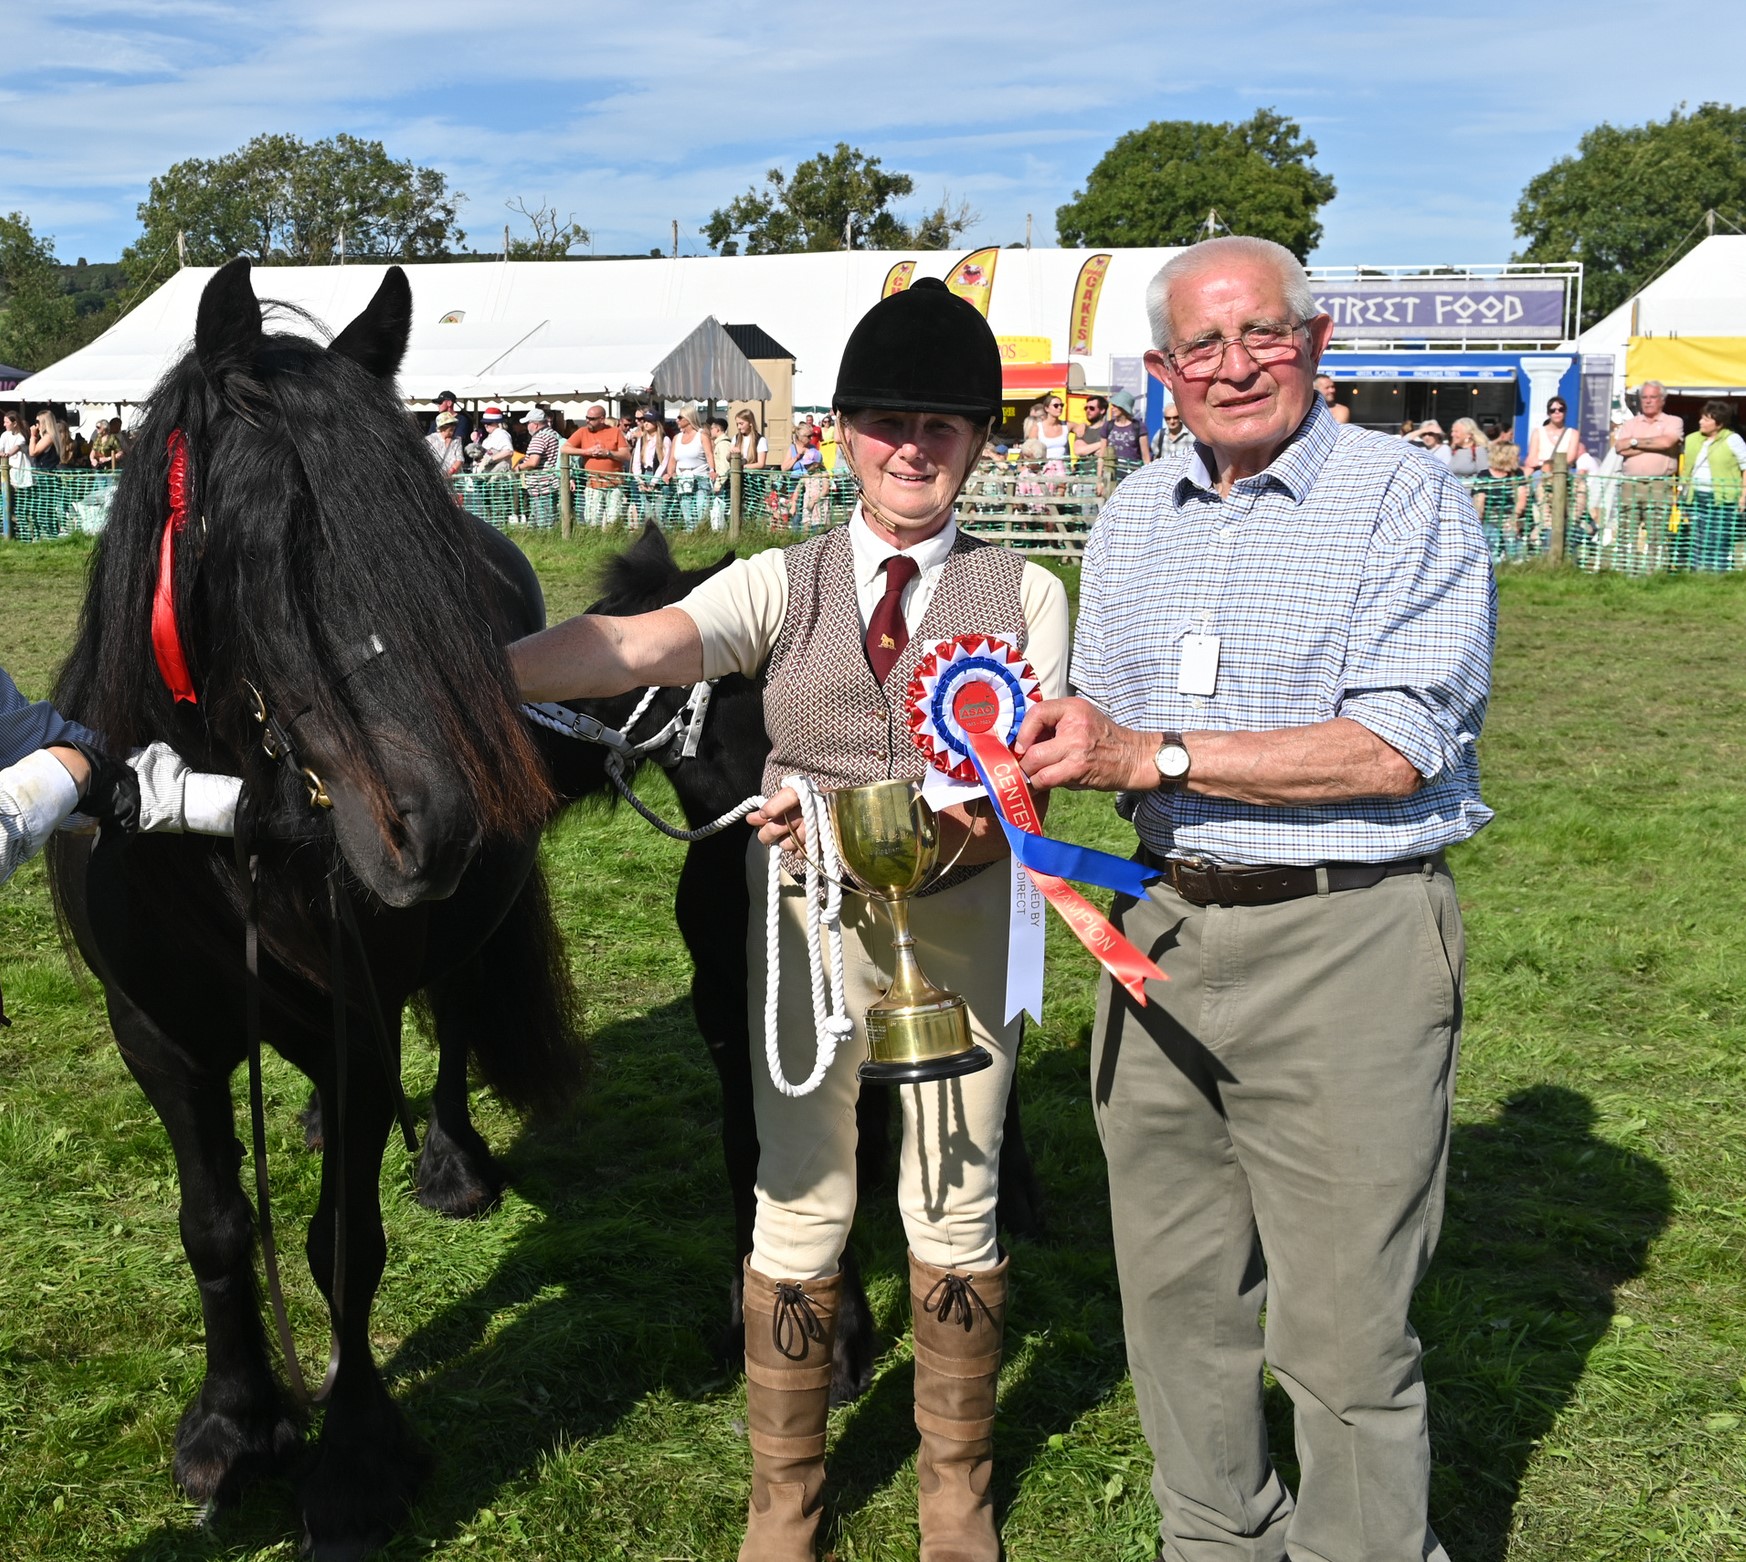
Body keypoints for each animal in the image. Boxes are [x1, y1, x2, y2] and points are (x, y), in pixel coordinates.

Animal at [46, 260, 579, 1562]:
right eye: (265, 539)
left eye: (419, 531)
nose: (436, 827)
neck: (217, 837)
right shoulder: (161, 1043)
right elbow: (216, 1227)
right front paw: (237, 1422)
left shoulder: (356, 1024)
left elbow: (345, 1244)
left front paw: (352, 1458)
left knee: (451, 1032)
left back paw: (448, 1161)